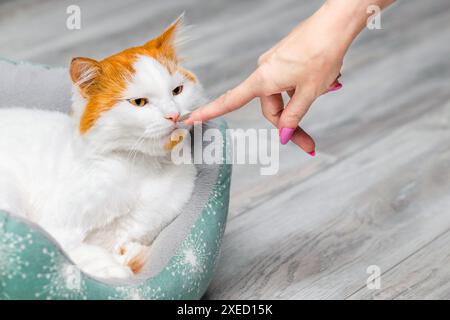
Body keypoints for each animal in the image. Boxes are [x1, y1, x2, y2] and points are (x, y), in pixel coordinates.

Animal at [0, 16, 204, 278]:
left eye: (177, 91)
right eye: (139, 102)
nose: (174, 115)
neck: (143, 168)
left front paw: (127, 256)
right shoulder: (56, 226)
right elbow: (67, 253)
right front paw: (112, 268)